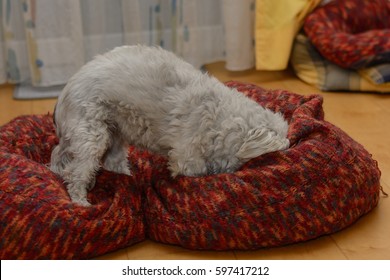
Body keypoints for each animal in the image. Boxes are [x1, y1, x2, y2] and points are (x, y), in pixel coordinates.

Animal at [49, 44, 290, 205]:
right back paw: (82, 202)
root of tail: (64, 95)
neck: (221, 117)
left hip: (114, 135)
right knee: (74, 173)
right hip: (92, 134)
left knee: (102, 162)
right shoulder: (186, 155)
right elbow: (194, 169)